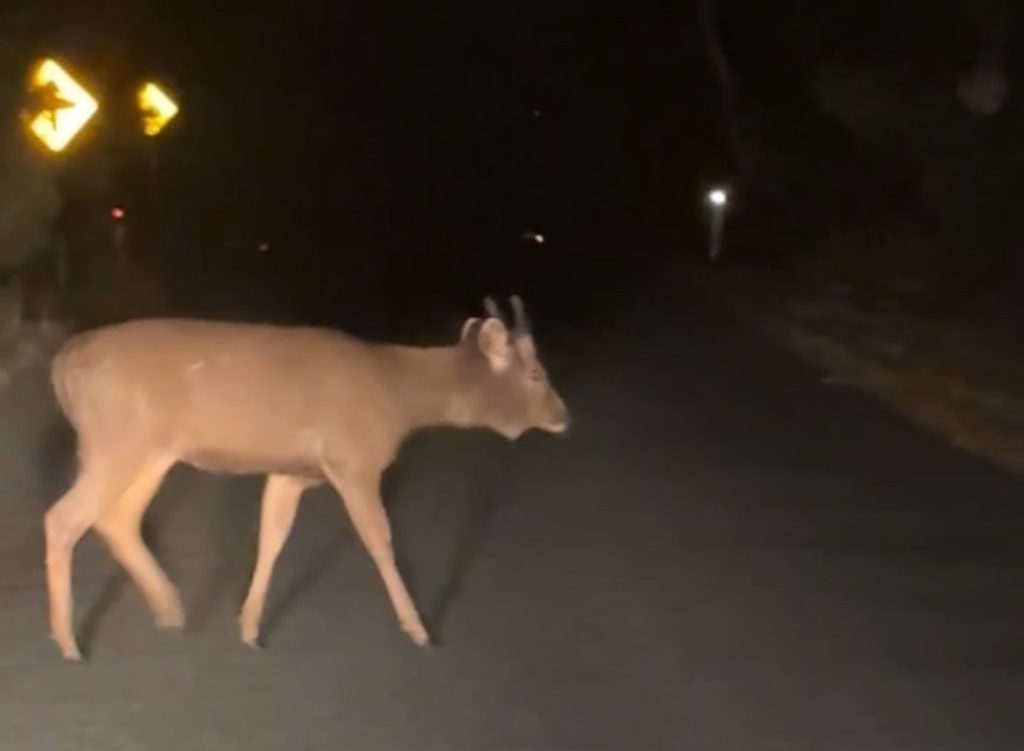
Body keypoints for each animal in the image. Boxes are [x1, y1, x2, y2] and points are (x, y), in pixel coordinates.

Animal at [43, 296, 570, 661]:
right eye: (536, 374)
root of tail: (61, 363)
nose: (563, 416)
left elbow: (272, 537)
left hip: (147, 450)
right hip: (119, 439)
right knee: (62, 519)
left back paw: (170, 609)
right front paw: (420, 631)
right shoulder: (354, 460)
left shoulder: (291, 470)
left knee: (117, 519)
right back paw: (69, 643)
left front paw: (249, 628)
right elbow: (380, 539)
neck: (398, 397)